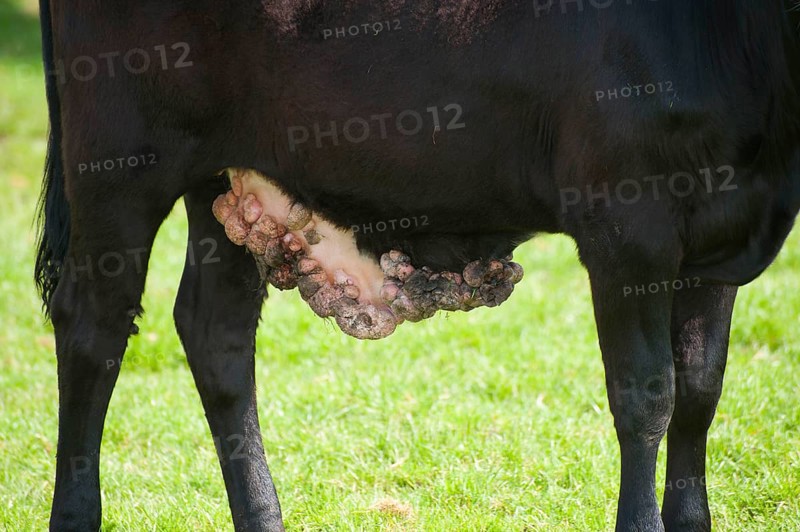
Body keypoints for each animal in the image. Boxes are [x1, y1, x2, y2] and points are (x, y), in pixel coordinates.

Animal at [34, 0, 800, 530]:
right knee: (92, 328)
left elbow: (700, 390)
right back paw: (75, 514)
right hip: (120, 162)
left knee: (214, 331)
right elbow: (647, 396)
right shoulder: (626, 225)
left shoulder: (715, 243)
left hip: (222, 178)